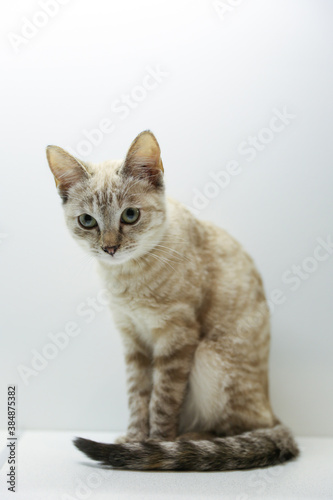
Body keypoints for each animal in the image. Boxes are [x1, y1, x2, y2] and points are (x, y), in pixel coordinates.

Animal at [45, 131, 296, 470]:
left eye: (130, 215)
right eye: (87, 221)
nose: (110, 248)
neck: (127, 276)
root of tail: (272, 412)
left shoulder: (177, 336)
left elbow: (162, 400)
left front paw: (157, 443)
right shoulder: (132, 340)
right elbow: (138, 397)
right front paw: (134, 439)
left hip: (209, 356)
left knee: (237, 430)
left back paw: (187, 441)